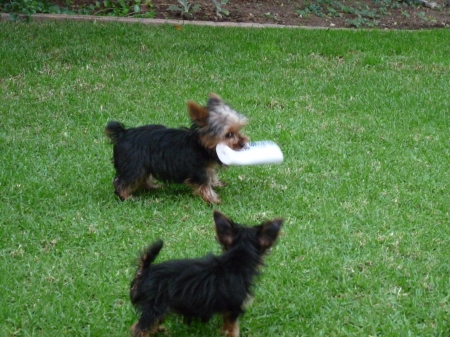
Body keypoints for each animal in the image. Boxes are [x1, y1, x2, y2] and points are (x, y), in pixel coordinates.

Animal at [105, 92, 248, 202]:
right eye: (228, 135)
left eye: (239, 129)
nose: (243, 143)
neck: (202, 145)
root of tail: (122, 134)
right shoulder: (198, 169)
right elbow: (203, 184)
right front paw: (213, 199)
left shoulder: (207, 167)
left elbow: (211, 175)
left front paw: (216, 183)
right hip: (134, 165)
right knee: (123, 181)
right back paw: (126, 196)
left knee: (141, 178)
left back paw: (153, 186)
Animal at [130, 209, 284, 334]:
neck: (236, 259)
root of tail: (145, 271)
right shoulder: (233, 310)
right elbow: (233, 330)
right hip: (155, 306)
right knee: (139, 329)